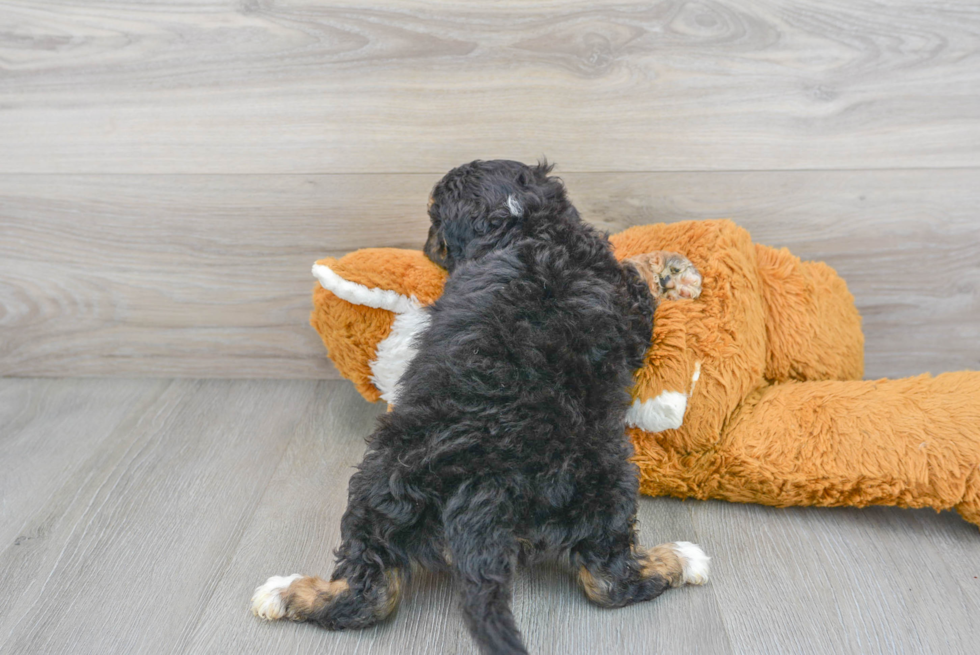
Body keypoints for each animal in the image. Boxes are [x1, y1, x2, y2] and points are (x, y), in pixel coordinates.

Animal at [253, 161, 708, 655]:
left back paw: (284, 594)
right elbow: (636, 269)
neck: (520, 224)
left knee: (367, 593)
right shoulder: (629, 300)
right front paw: (674, 269)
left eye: (433, 220)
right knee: (609, 580)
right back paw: (681, 559)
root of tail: (484, 483)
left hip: (386, 485)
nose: (427, 247)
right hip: (606, 477)